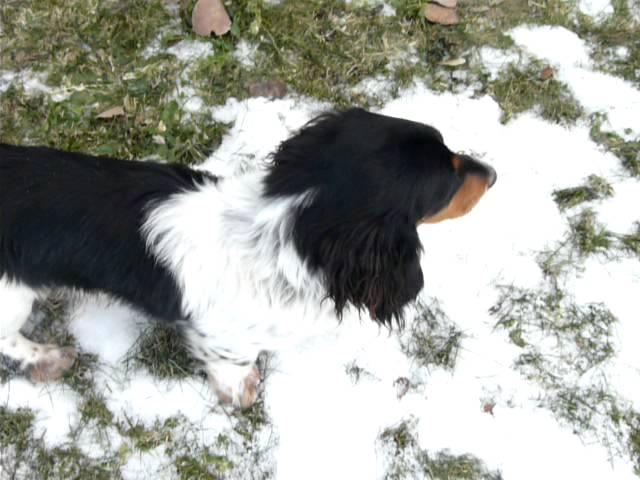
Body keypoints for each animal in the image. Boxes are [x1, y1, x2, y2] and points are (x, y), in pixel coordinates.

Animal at [0, 108, 496, 404]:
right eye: (448, 181)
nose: (492, 174)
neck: (280, 231)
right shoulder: (222, 334)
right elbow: (232, 363)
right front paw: (242, 390)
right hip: (11, 297)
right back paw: (45, 358)